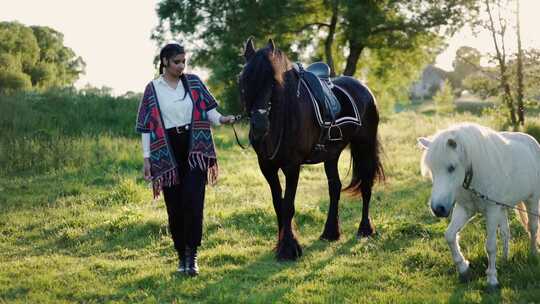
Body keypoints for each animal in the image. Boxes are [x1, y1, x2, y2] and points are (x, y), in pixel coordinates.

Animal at [237, 38, 384, 262]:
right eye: (244, 80)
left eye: (273, 81)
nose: (259, 126)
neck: (283, 116)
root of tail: (364, 88)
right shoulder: (267, 167)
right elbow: (278, 204)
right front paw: (282, 244)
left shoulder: (292, 166)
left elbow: (288, 205)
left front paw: (289, 249)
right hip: (331, 154)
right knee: (335, 187)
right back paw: (330, 232)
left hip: (364, 145)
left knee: (366, 185)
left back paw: (365, 229)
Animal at [418, 121, 540, 290]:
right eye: (432, 170)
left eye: (451, 167)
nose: (438, 209)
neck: (473, 176)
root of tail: (532, 142)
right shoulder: (464, 209)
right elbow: (449, 235)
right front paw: (463, 268)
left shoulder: (492, 210)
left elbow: (490, 246)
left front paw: (492, 279)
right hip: (502, 208)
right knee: (506, 232)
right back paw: (505, 259)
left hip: (531, 201)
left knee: (532, 228)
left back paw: (533, 254)